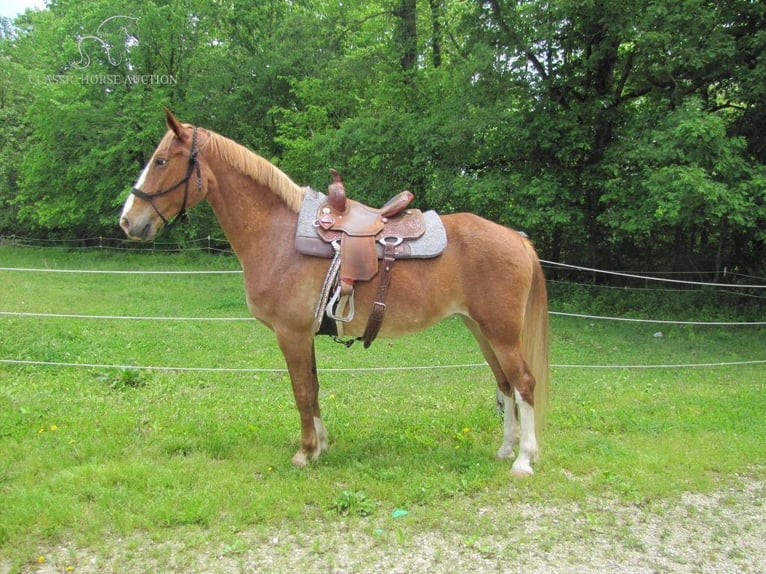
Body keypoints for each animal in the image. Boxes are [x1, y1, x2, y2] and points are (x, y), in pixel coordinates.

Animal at [118, 110, 552, 480]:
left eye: (161, 161)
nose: (127, 221)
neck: (278, 235)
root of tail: (517, 238)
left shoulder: (290, 334)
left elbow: (301, 391)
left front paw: (305, 452)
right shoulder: (303, 334)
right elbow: (312, 388)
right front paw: (320, 446)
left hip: (501, 333)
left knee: (524, 383)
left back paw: (524, 460)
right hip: (481, 330)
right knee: (505, 384)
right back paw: (505, 449)